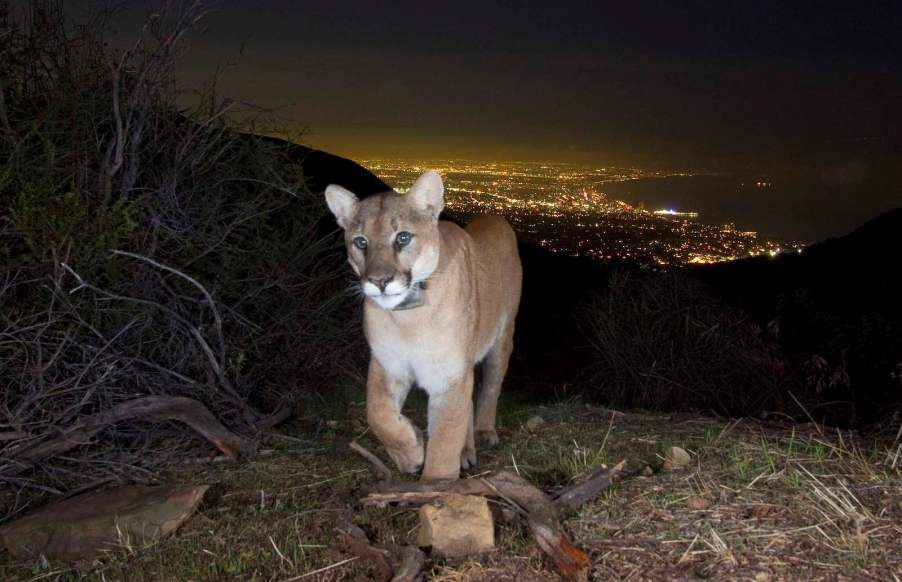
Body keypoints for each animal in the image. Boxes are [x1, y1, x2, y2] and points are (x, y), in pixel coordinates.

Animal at [326, 171, 524, 482]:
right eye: (360, 242)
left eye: (403, 237)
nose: (380, 281)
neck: (408, 318)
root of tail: (494, 216)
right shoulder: (388, 363)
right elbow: (377, 413)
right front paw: (410, 452)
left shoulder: (449, 376)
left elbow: (444, 441)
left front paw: (435, 484)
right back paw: (465, 452)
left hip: (502, 339)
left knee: (490, 386)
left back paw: (483, 432)